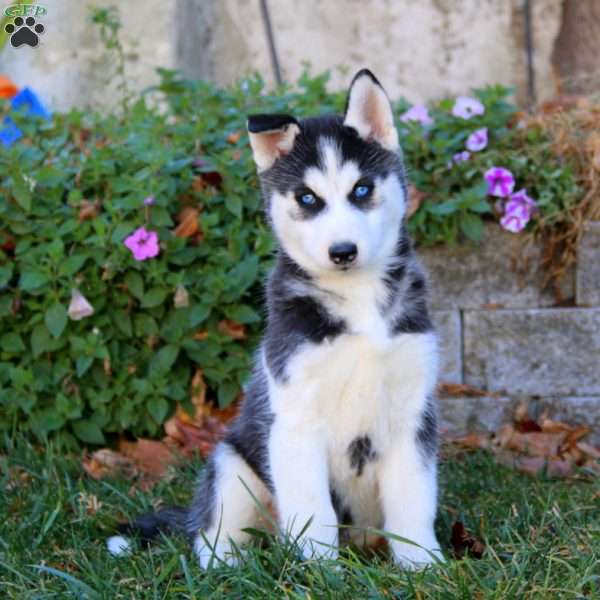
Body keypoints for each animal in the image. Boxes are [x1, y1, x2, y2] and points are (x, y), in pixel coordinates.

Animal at [108, 69, 442, 568]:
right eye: (307, 197)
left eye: (362, 189)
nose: (343, 252)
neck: (358, 303)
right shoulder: (294, 418)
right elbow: (312, 509)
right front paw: (322, 570)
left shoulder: (412, 411)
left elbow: (413, 499)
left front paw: (422, 564)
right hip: (231, 464)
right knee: (210, 538)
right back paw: (229, 565)